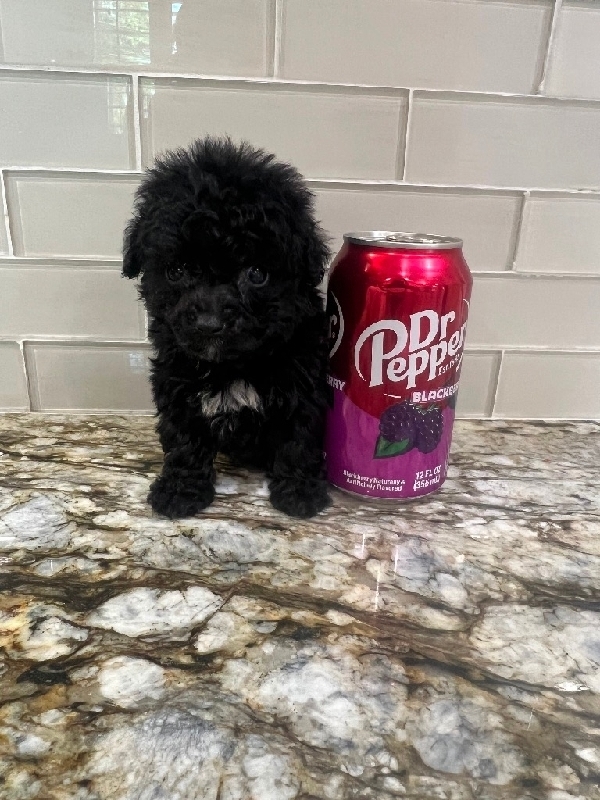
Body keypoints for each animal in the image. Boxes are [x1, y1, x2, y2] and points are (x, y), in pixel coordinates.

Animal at [122, 137, 331, 519]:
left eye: (257, 274)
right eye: (177, 270)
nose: (210, 323)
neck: (233, 366)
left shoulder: (303, 383)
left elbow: (298, 437)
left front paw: (300, 493)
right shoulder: (177, 384)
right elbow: (184, 442)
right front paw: (180, 492)